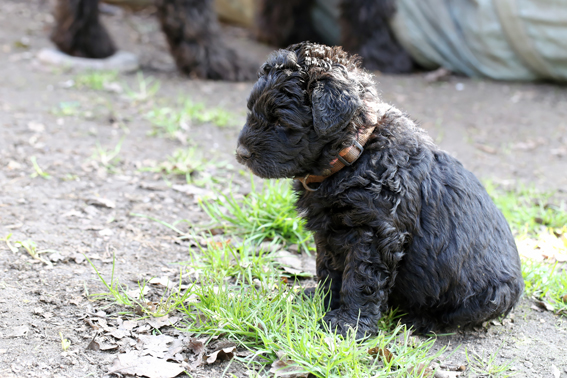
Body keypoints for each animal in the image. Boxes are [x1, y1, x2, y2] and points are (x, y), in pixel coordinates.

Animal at [235, 42, 524, 336]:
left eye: (282, 122)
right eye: (251, 110)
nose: (241, 153)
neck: (356, 152)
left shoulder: (373, 233)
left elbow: (361, 278)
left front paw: (348, 324)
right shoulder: (328, 229)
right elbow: (328, 267)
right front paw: (321, 301)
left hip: (487, 296)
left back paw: (420, 321)